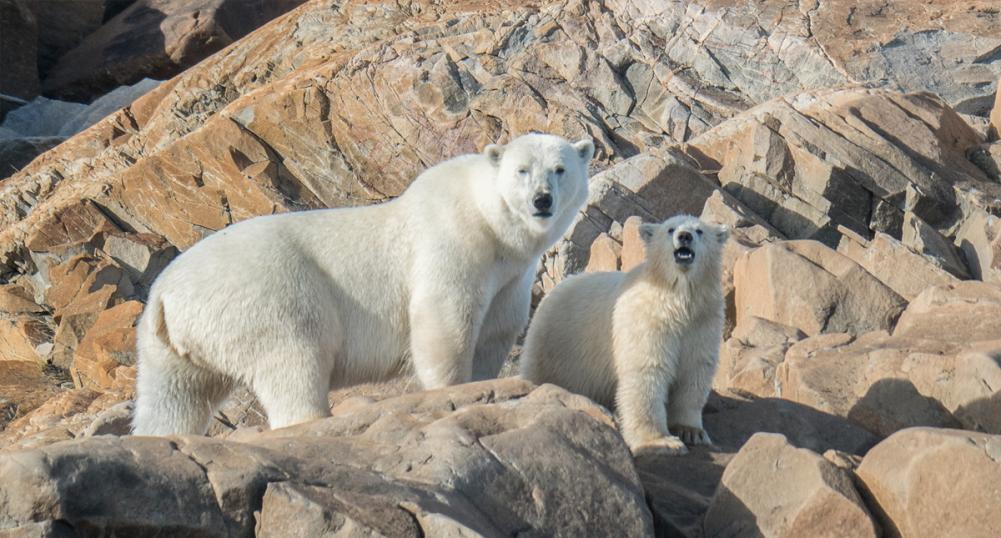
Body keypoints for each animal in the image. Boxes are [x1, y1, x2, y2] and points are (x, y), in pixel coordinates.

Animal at [129, 134, 588, 436]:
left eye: (561, 169)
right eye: (521, 170)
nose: (542, 200)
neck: (487, 220)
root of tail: (165, 296)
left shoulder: (509, 275)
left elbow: (496, 329)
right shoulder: (452, 242)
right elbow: (443, 320)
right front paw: (452, 392)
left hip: (167, 348)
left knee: (173, 401)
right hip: (266, 298)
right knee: (294, 360)